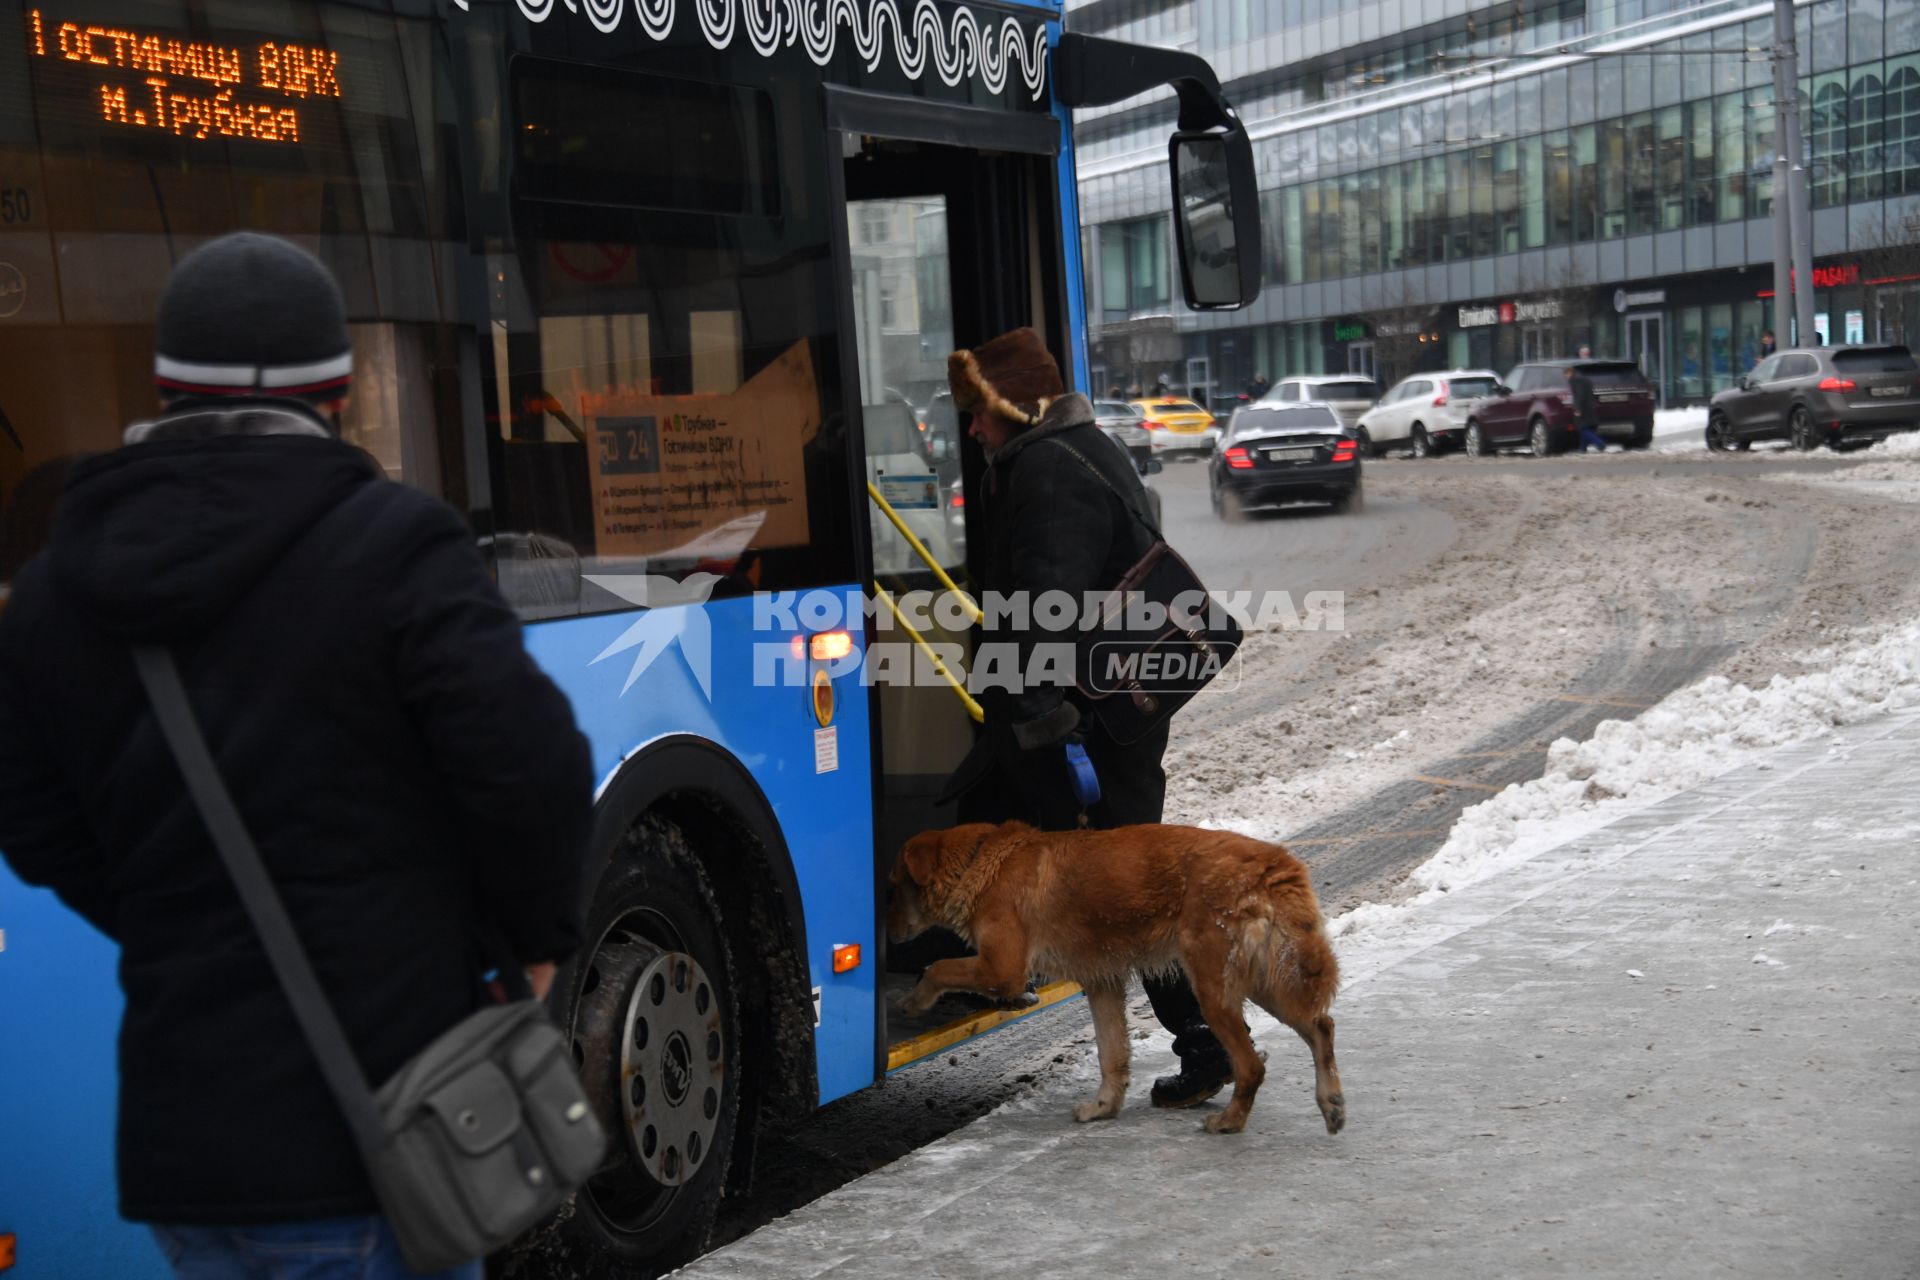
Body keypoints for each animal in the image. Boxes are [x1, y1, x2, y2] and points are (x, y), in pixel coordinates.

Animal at [890, 821, 1344, 1128]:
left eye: (891, 886)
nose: (888, 939)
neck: (982, 858)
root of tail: (1272, 862)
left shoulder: (1001, 967)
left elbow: (940, 968)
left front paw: (913, 1000)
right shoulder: (1102, 984)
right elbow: (1112, 1055)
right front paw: (1104, 1107)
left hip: (1214, 989)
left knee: (1252, 1066)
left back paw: (1230, 1121)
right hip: (1270, 981)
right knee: (1321, 1026)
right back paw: (1331, 1102)